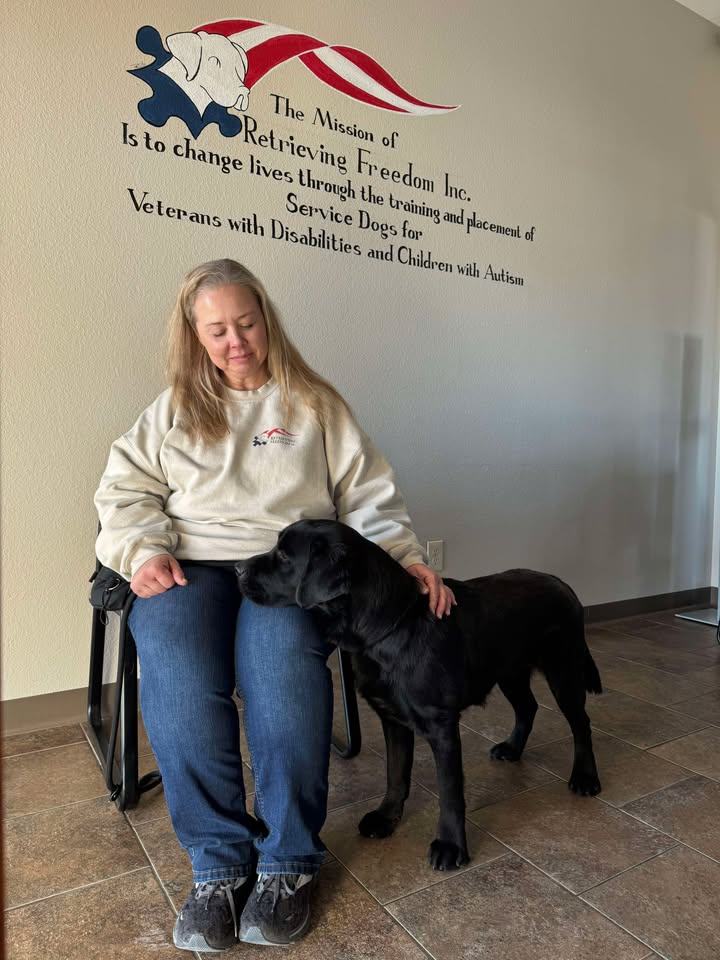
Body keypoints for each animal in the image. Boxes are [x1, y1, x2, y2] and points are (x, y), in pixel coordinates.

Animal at [236, 520, 600, 872]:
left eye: (284, 556)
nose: (238, 568)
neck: (390, 626)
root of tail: (561, 583)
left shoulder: (442, 726)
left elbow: (450, 792)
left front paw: (451, 845)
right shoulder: (392, 718)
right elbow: (395, 774)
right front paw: (386, 817)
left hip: (563, 670)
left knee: (581, 722)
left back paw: (585, 777)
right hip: (509, 671)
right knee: (528, 707)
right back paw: (512, 749)